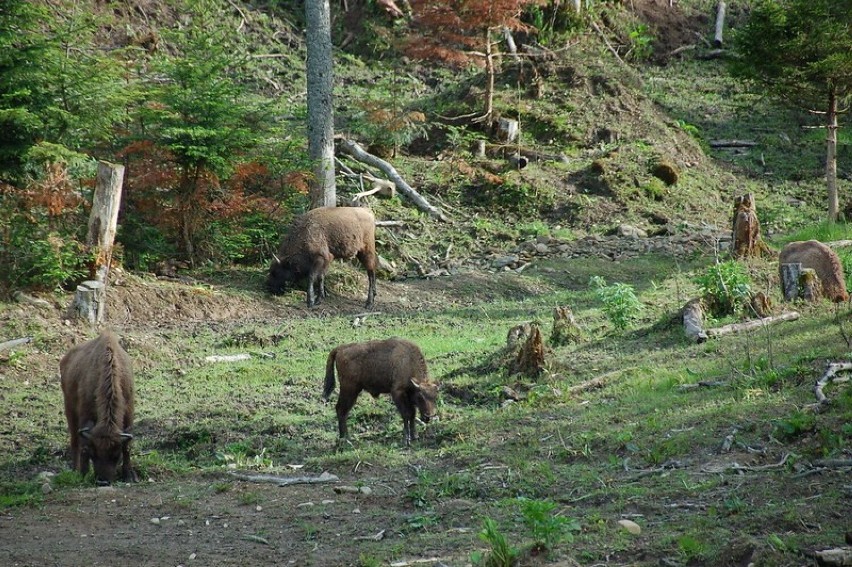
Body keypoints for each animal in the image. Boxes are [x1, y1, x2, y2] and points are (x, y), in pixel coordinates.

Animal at [60, 330, 135, 486]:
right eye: (93, 454)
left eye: (116, 455)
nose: (103, 482)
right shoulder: (84, 413)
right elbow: (83, 446)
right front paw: (82, 474)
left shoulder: (129, 410)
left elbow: (127, 446)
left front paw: (129, 475)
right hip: (69, 409)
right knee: (75, 441)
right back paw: (75, 470)